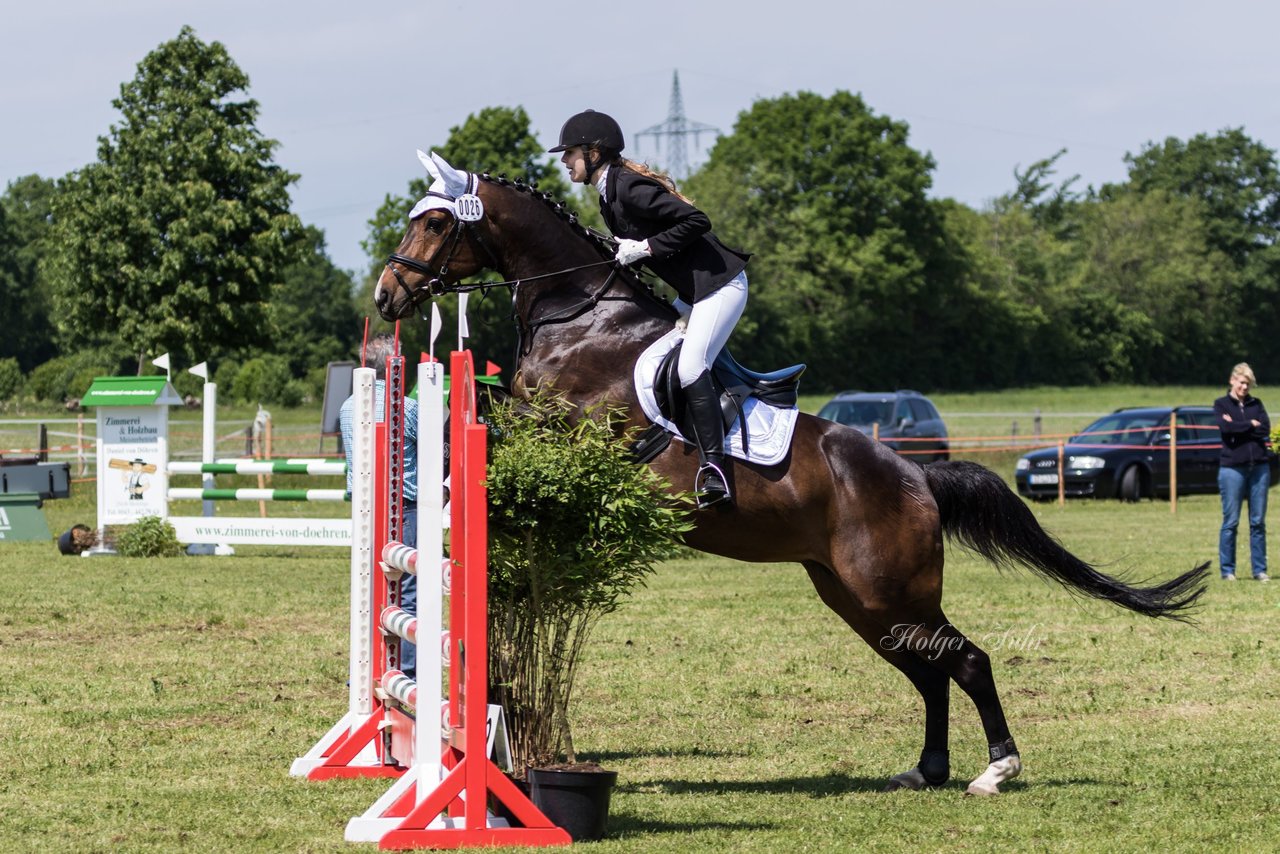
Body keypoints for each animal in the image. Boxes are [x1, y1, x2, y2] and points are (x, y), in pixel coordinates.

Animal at [368, 151, 1198, 793]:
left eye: (435, 223)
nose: (387, 294)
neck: (579, 312)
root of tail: (916, 478)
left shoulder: (571, 430)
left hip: (886, 588)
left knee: (966, 659)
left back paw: (996, 770)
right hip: (858, 598)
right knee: (930, 670)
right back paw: (926, 770)